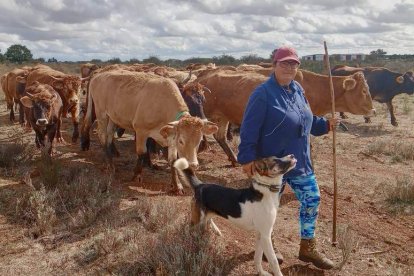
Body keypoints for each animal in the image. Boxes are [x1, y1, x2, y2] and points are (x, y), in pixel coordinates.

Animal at [79, 69, 218, 194]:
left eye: (199, 141)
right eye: (181, 141)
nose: (193, 164)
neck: (162, 105)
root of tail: (98, 75)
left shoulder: (171, 137)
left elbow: (173, 160)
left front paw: (177, 186)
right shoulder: (141, 131)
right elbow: (142, 152)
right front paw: (137, 175)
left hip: (113, 117)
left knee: (108, 136)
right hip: (101, 113)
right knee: (102, 135)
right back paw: (110, 165)